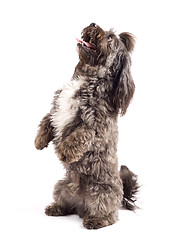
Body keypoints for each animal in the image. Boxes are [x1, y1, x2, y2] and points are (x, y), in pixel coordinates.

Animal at [34, 23, 138, 231]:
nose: (92, 24)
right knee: (68, 205)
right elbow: (46, 120)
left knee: (110, 215)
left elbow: (78, 136)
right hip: (60, 186)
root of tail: (82, 205)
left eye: (110, 38)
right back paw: (57, 208)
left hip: (102, 193)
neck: (87, 77)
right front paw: (39, 140)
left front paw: (64, 151)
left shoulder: (95, 125)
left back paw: (96, 220)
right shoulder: (56, 107)